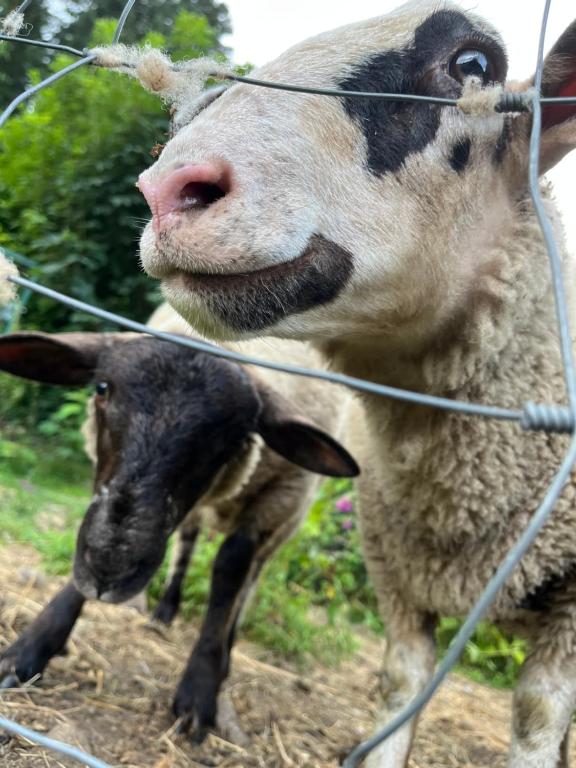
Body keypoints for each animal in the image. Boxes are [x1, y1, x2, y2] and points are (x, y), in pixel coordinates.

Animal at [0, 303, 358, 739]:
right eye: (101, 389)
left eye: (235, 437)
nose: (109, 570)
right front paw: (28, 650)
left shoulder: (276, 500)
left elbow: (229, 573)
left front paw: (200, 688)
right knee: (187, 540)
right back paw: (164, 612)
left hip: (286, 518)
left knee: (253, 575)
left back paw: (228, 645)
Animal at [132, 2, 576, 765]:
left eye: (473, 65)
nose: (167, 190)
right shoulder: (398, 585)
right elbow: (398, 689)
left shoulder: (568, 622)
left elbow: (537, 718)